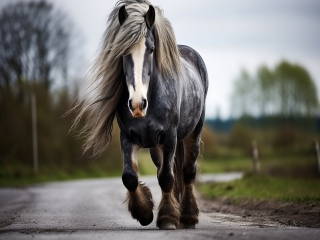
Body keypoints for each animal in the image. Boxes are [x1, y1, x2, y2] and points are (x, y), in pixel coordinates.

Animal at [73, 0, 209, 229]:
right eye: (121, 52)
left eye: (152, 49)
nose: (137, 104)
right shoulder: (128, 137)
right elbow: (130, 177)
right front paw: (144, 212)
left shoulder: (170, 137)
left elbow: (167, 178)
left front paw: (167, 218)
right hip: (155, 147)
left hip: (193, 134)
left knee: (187, 172)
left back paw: (188, 216)